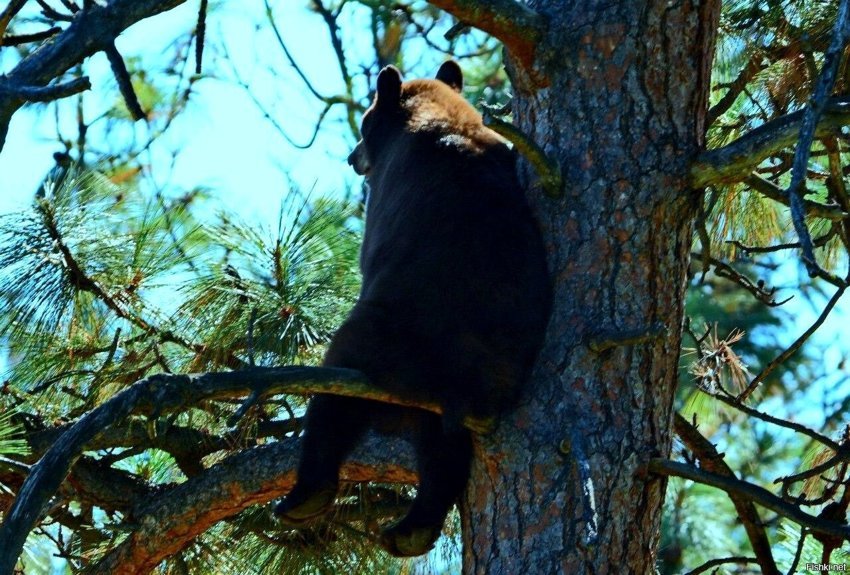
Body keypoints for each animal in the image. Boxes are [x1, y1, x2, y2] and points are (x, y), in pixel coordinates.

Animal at [272, 62, 548, 560]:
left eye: (364, 122)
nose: (352, 157)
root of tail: (469, 384)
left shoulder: (382, 198)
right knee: (444, 449)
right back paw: (412, 528)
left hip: (387, 341)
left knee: (339, 392)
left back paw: (306, 495)